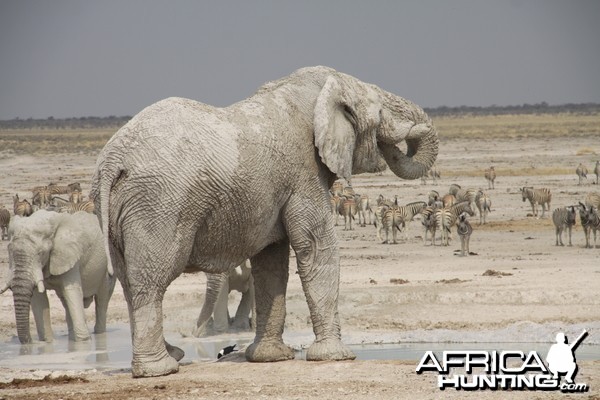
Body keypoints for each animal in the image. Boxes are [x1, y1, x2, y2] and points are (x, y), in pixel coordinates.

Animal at [0, 209, 116, 344]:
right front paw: (47, 342)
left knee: (101, 299)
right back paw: (72, 338)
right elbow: (39, 299)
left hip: (107, 268)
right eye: (9, 250)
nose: (30, 341)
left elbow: (72, 291)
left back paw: (98, 333)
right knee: (66, 302)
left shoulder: (70, 254)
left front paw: (84, 341)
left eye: (41, 253)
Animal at [92, 66, 440, 378]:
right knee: (152, 280)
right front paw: (336, 356)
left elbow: (271, 262)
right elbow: (317, 248)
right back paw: (159, 369)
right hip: (159, 203)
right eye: (381, 111)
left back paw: (171, 356)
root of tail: (113, 161)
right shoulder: (304, 173)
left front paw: (269, 357)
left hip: (117, 207)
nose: (413, 132)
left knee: (130, 281)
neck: (316, 89)